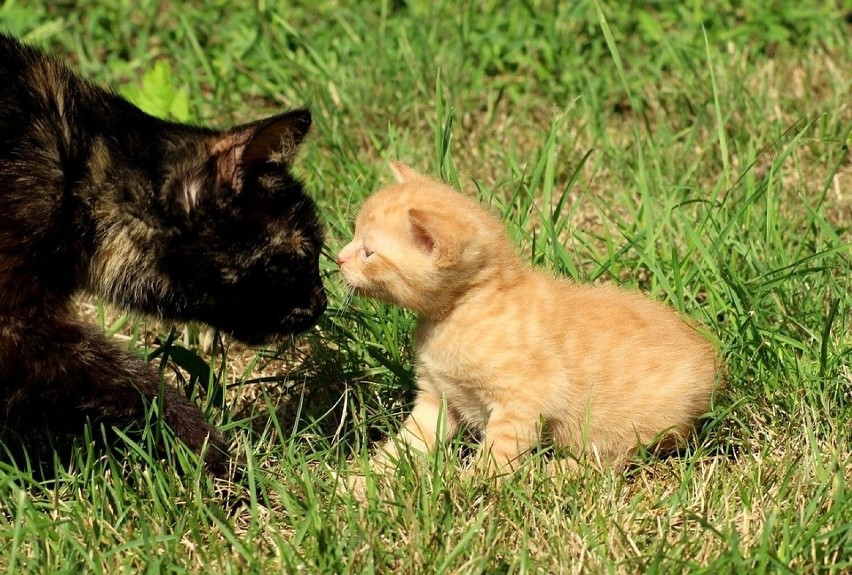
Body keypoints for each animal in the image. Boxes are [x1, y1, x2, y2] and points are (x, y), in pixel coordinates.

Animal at [0, 32, 326, 476]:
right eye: (302, 254)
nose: (322, 301)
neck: (79, 166)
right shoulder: (16, 325)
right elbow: (136, 381)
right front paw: (215, 455)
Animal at [336, 163, 724, 476]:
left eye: (368, 252)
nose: (338, 258)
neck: (462, 309)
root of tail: (711, 360)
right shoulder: (437, 399)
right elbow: (403, 447)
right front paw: (357, 484)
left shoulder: (521, 403)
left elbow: (496, 456)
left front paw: (468, 489)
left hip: (631, 426)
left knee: (615, 458)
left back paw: (555, 472)